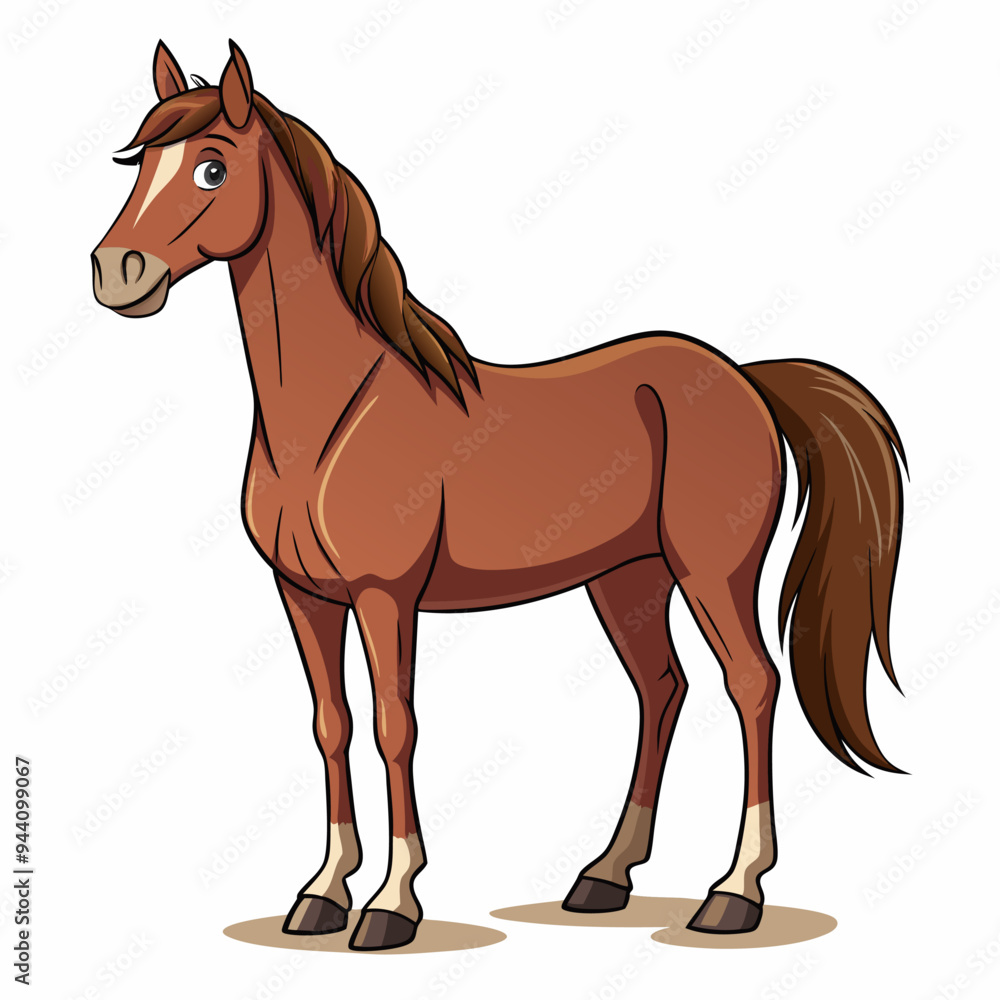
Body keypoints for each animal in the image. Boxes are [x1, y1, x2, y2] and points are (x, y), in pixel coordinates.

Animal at [92, 40, 906, 951]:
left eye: (210, 167)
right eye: (140, 164)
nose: (116, 273)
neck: (331, 415)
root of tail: (745, 380)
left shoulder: (385, 595)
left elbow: (395, 726)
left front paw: (391, 902)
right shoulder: (303, 595)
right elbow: (332, 726)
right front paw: (323, 891)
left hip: (711, 572)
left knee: (752, 686)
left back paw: (734, 891)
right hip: (627, 578)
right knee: (662, 689)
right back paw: (605, 876)